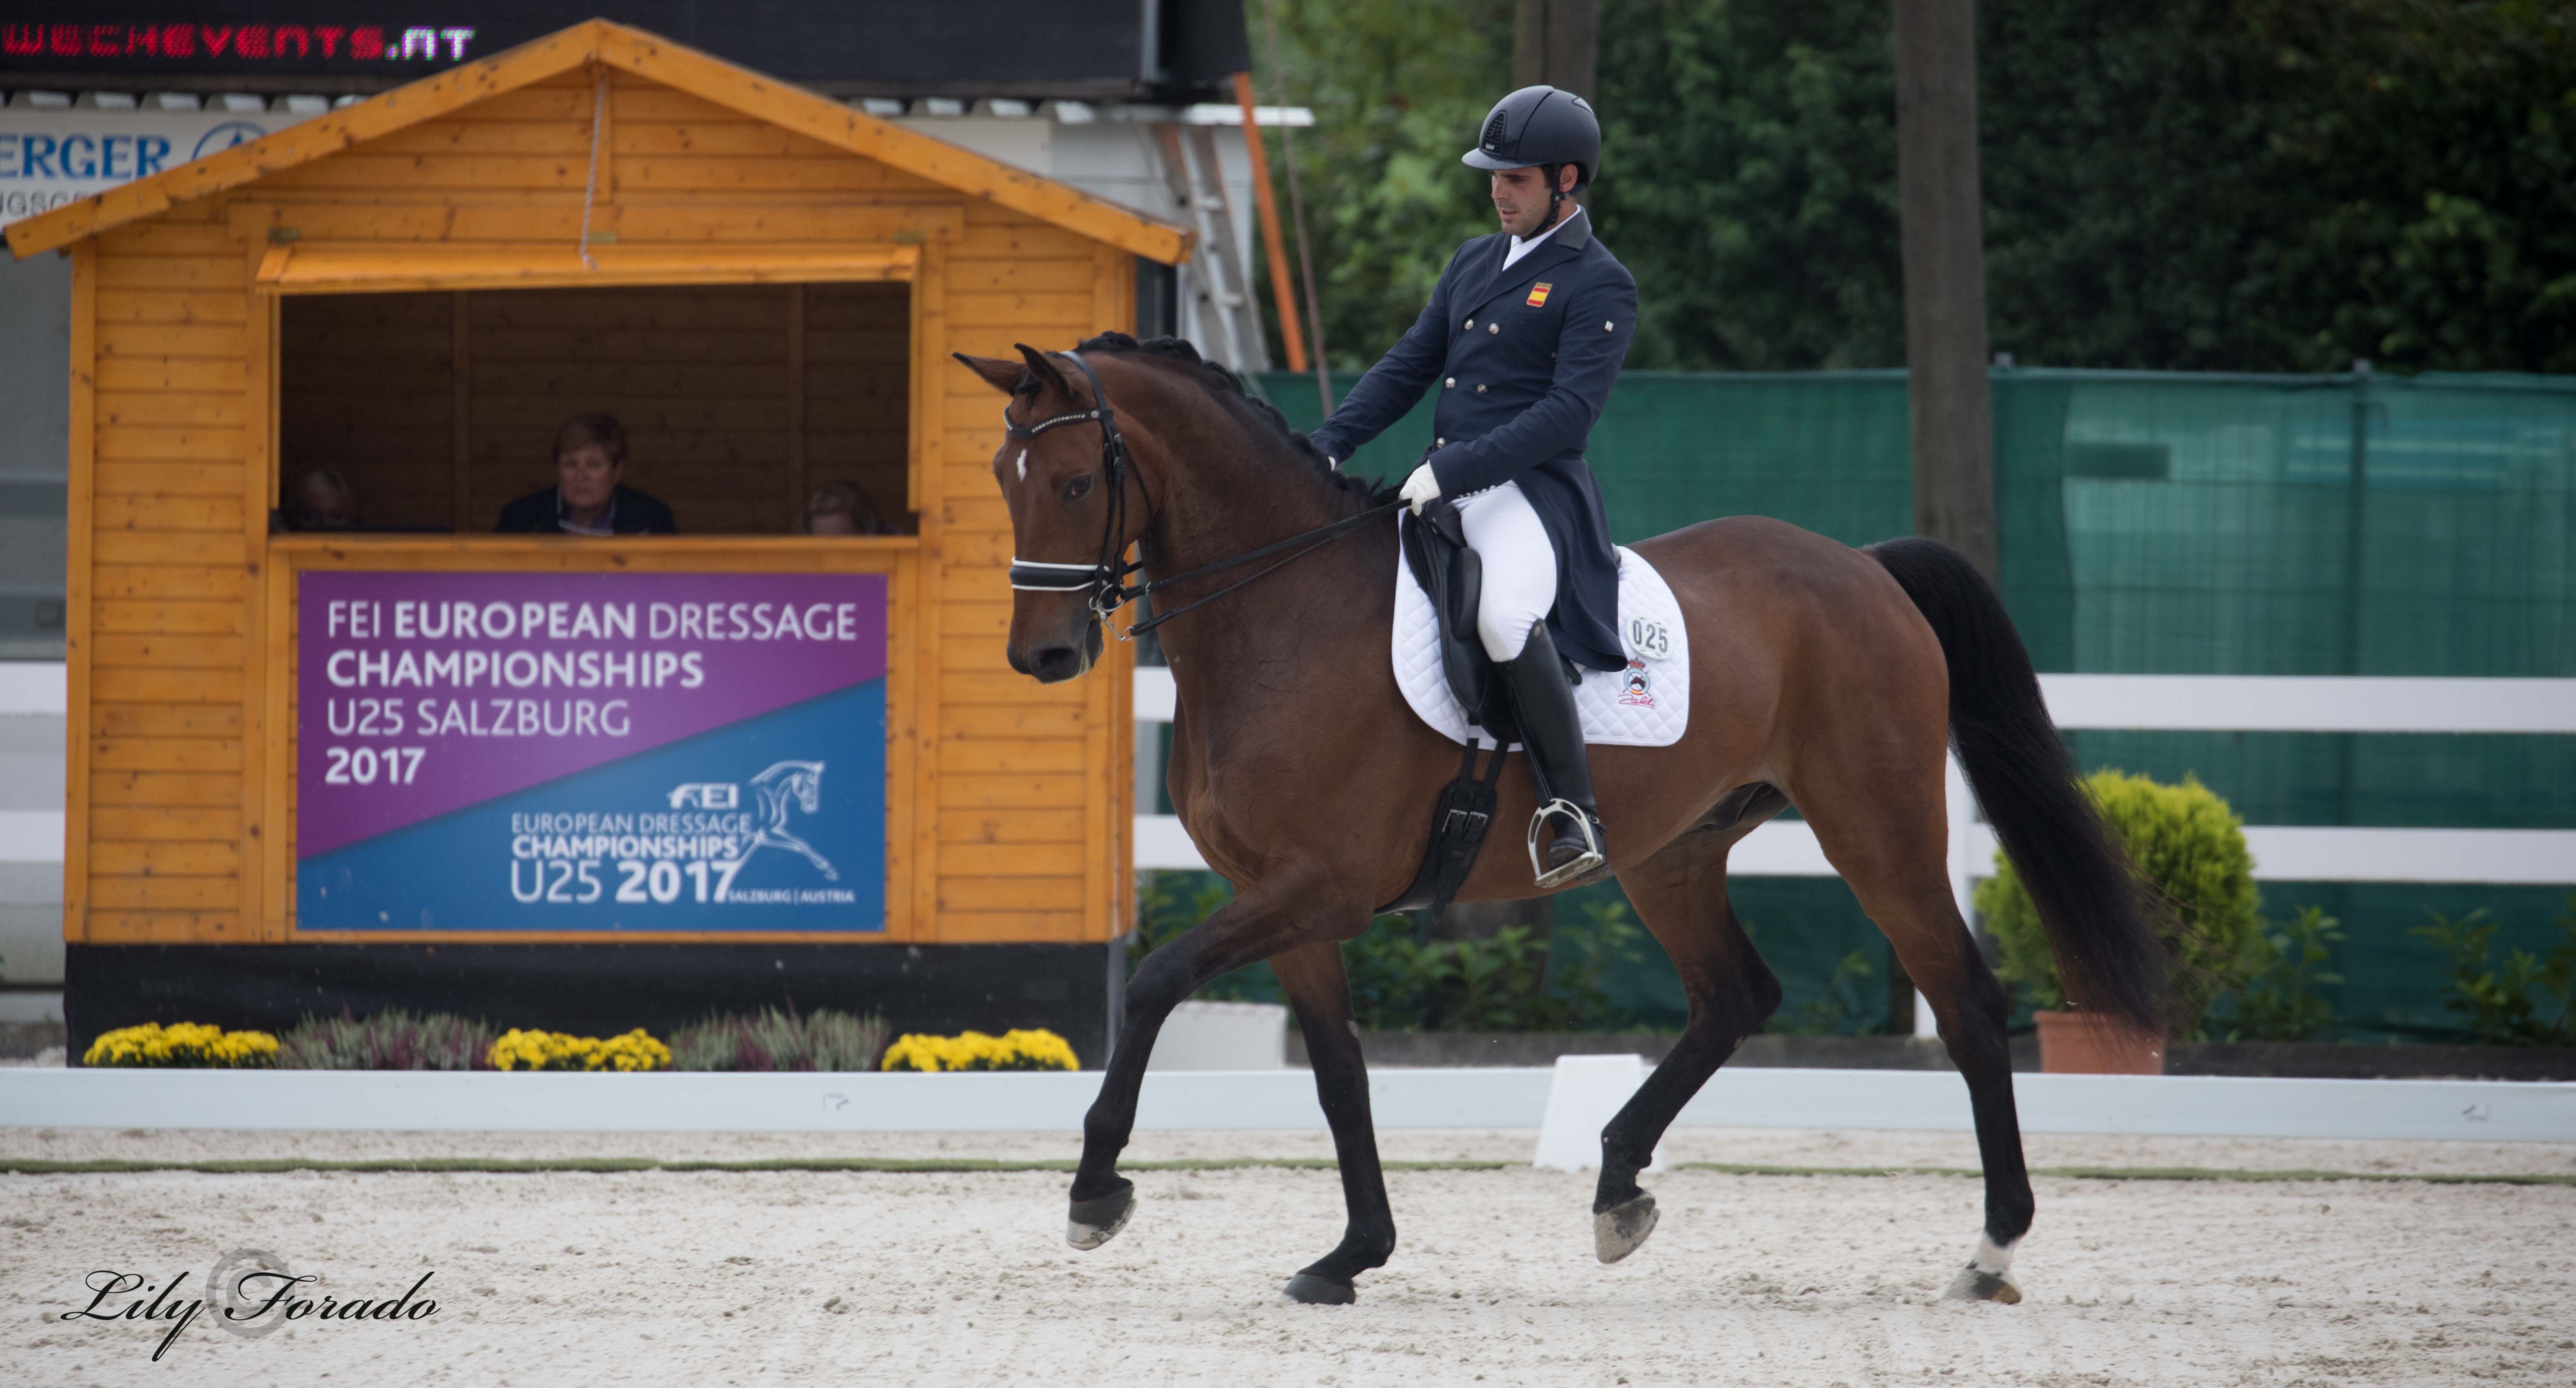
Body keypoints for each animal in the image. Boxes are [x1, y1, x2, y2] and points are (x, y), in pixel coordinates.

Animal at [958, 337, 2164, 1313]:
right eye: (1001, 478)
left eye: (1075, 479)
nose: (1042, 655)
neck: (1279, 609)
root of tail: (1864, 567)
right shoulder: (1289, 901)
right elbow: (1339, 1072)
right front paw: (1351, 1253)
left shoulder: (1318, 885)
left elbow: (1155, 981)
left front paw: (1094, 1192)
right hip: (1675, 852)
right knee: (1735, 995)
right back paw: (1618, 1184)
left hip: (1879, 829)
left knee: (1964, 1004)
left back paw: (1990, 1251)